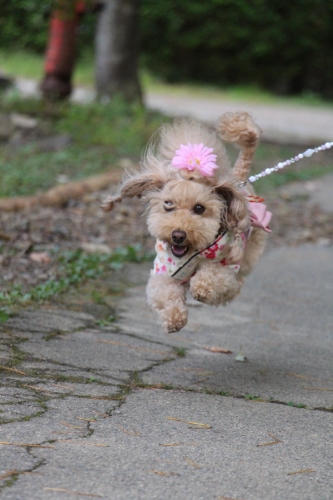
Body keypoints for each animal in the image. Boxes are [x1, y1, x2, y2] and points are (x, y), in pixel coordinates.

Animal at [102, 111, 272, 334]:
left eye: (199, 208)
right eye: (168, 204)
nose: (178, 235)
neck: (192, 253)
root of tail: (238, 179)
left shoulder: (226, 267)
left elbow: (215, 276)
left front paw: (201, 288)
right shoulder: (164, 272)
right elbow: (164, 292)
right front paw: (174, 319)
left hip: (250, 254)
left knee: (239, 281)